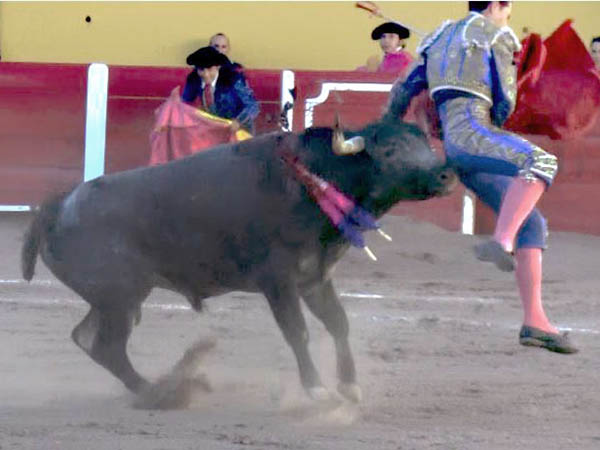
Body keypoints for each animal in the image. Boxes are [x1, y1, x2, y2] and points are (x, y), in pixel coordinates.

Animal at [21, 120, 458, 404]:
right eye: (390, 151)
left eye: (425, 143)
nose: (446, 175)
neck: (314, 181)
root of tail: (57, 205)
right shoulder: (279, 282)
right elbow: (298, 332)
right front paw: (316, 390)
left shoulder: (315, 278)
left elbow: (338, 324)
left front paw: (349, 386)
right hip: (122, 298)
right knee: (107, 347)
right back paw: (160, 392)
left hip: (113, 300)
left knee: (86, 339)